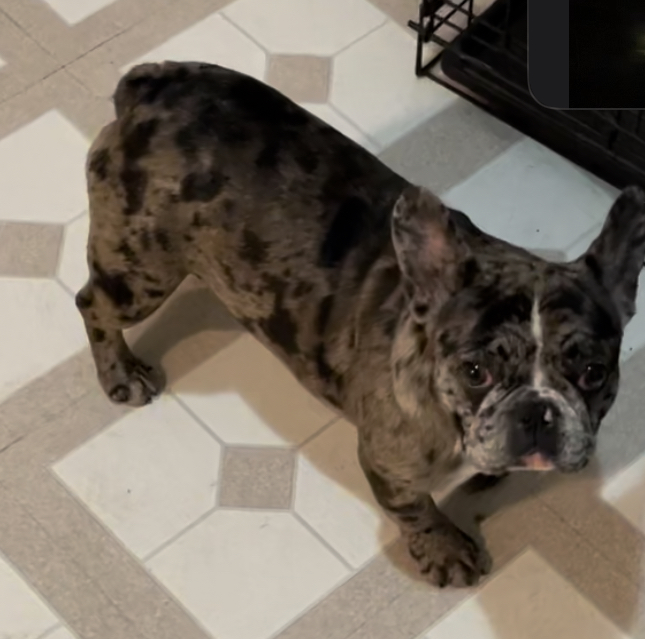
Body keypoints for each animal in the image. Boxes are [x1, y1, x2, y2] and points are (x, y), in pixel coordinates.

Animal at [76, 61, 645, 588]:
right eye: (475, 371)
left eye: (594, 373)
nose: (536, 413)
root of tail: (154, 85)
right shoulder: (389, 462)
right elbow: (413, 508)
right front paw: (443, 548)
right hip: (141, 273)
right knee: (92, 305)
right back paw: (120, 372)